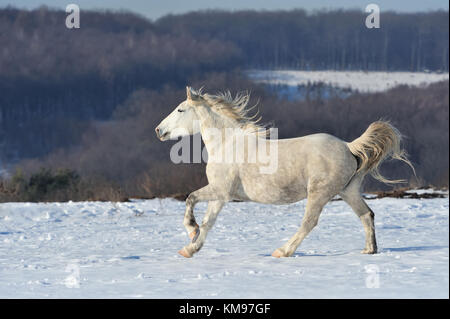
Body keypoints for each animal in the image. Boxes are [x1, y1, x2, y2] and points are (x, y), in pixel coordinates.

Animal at [156, 87, 414, 260]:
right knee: (366, 215)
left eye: (180, 109)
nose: (159, 130)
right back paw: (369, 250)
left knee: (309, 222)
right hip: (348, 191)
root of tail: (348, 147)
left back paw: (282, 251)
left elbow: (190, 198)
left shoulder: (220, 190)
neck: (227, 144)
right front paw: (190, 248)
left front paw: (191, 231)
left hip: (319, 193)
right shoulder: (220, 196)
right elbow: (208, 222)